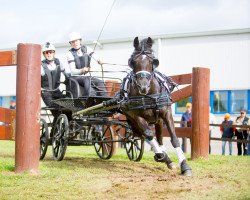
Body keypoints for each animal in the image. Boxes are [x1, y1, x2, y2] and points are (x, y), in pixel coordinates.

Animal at [121, 36, 191, 176]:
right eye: (133, 62)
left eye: (153, 61)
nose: (143, 86)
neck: (149, 96)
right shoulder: (136, 117)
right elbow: (148, 134)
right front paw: (161, 156)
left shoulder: (166, 114)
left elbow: (174, 139)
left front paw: (185, 165)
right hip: (133, 120)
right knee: (145, 136)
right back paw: (162, 156)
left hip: (158, 120)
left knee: (159, 138)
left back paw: (167, 159)